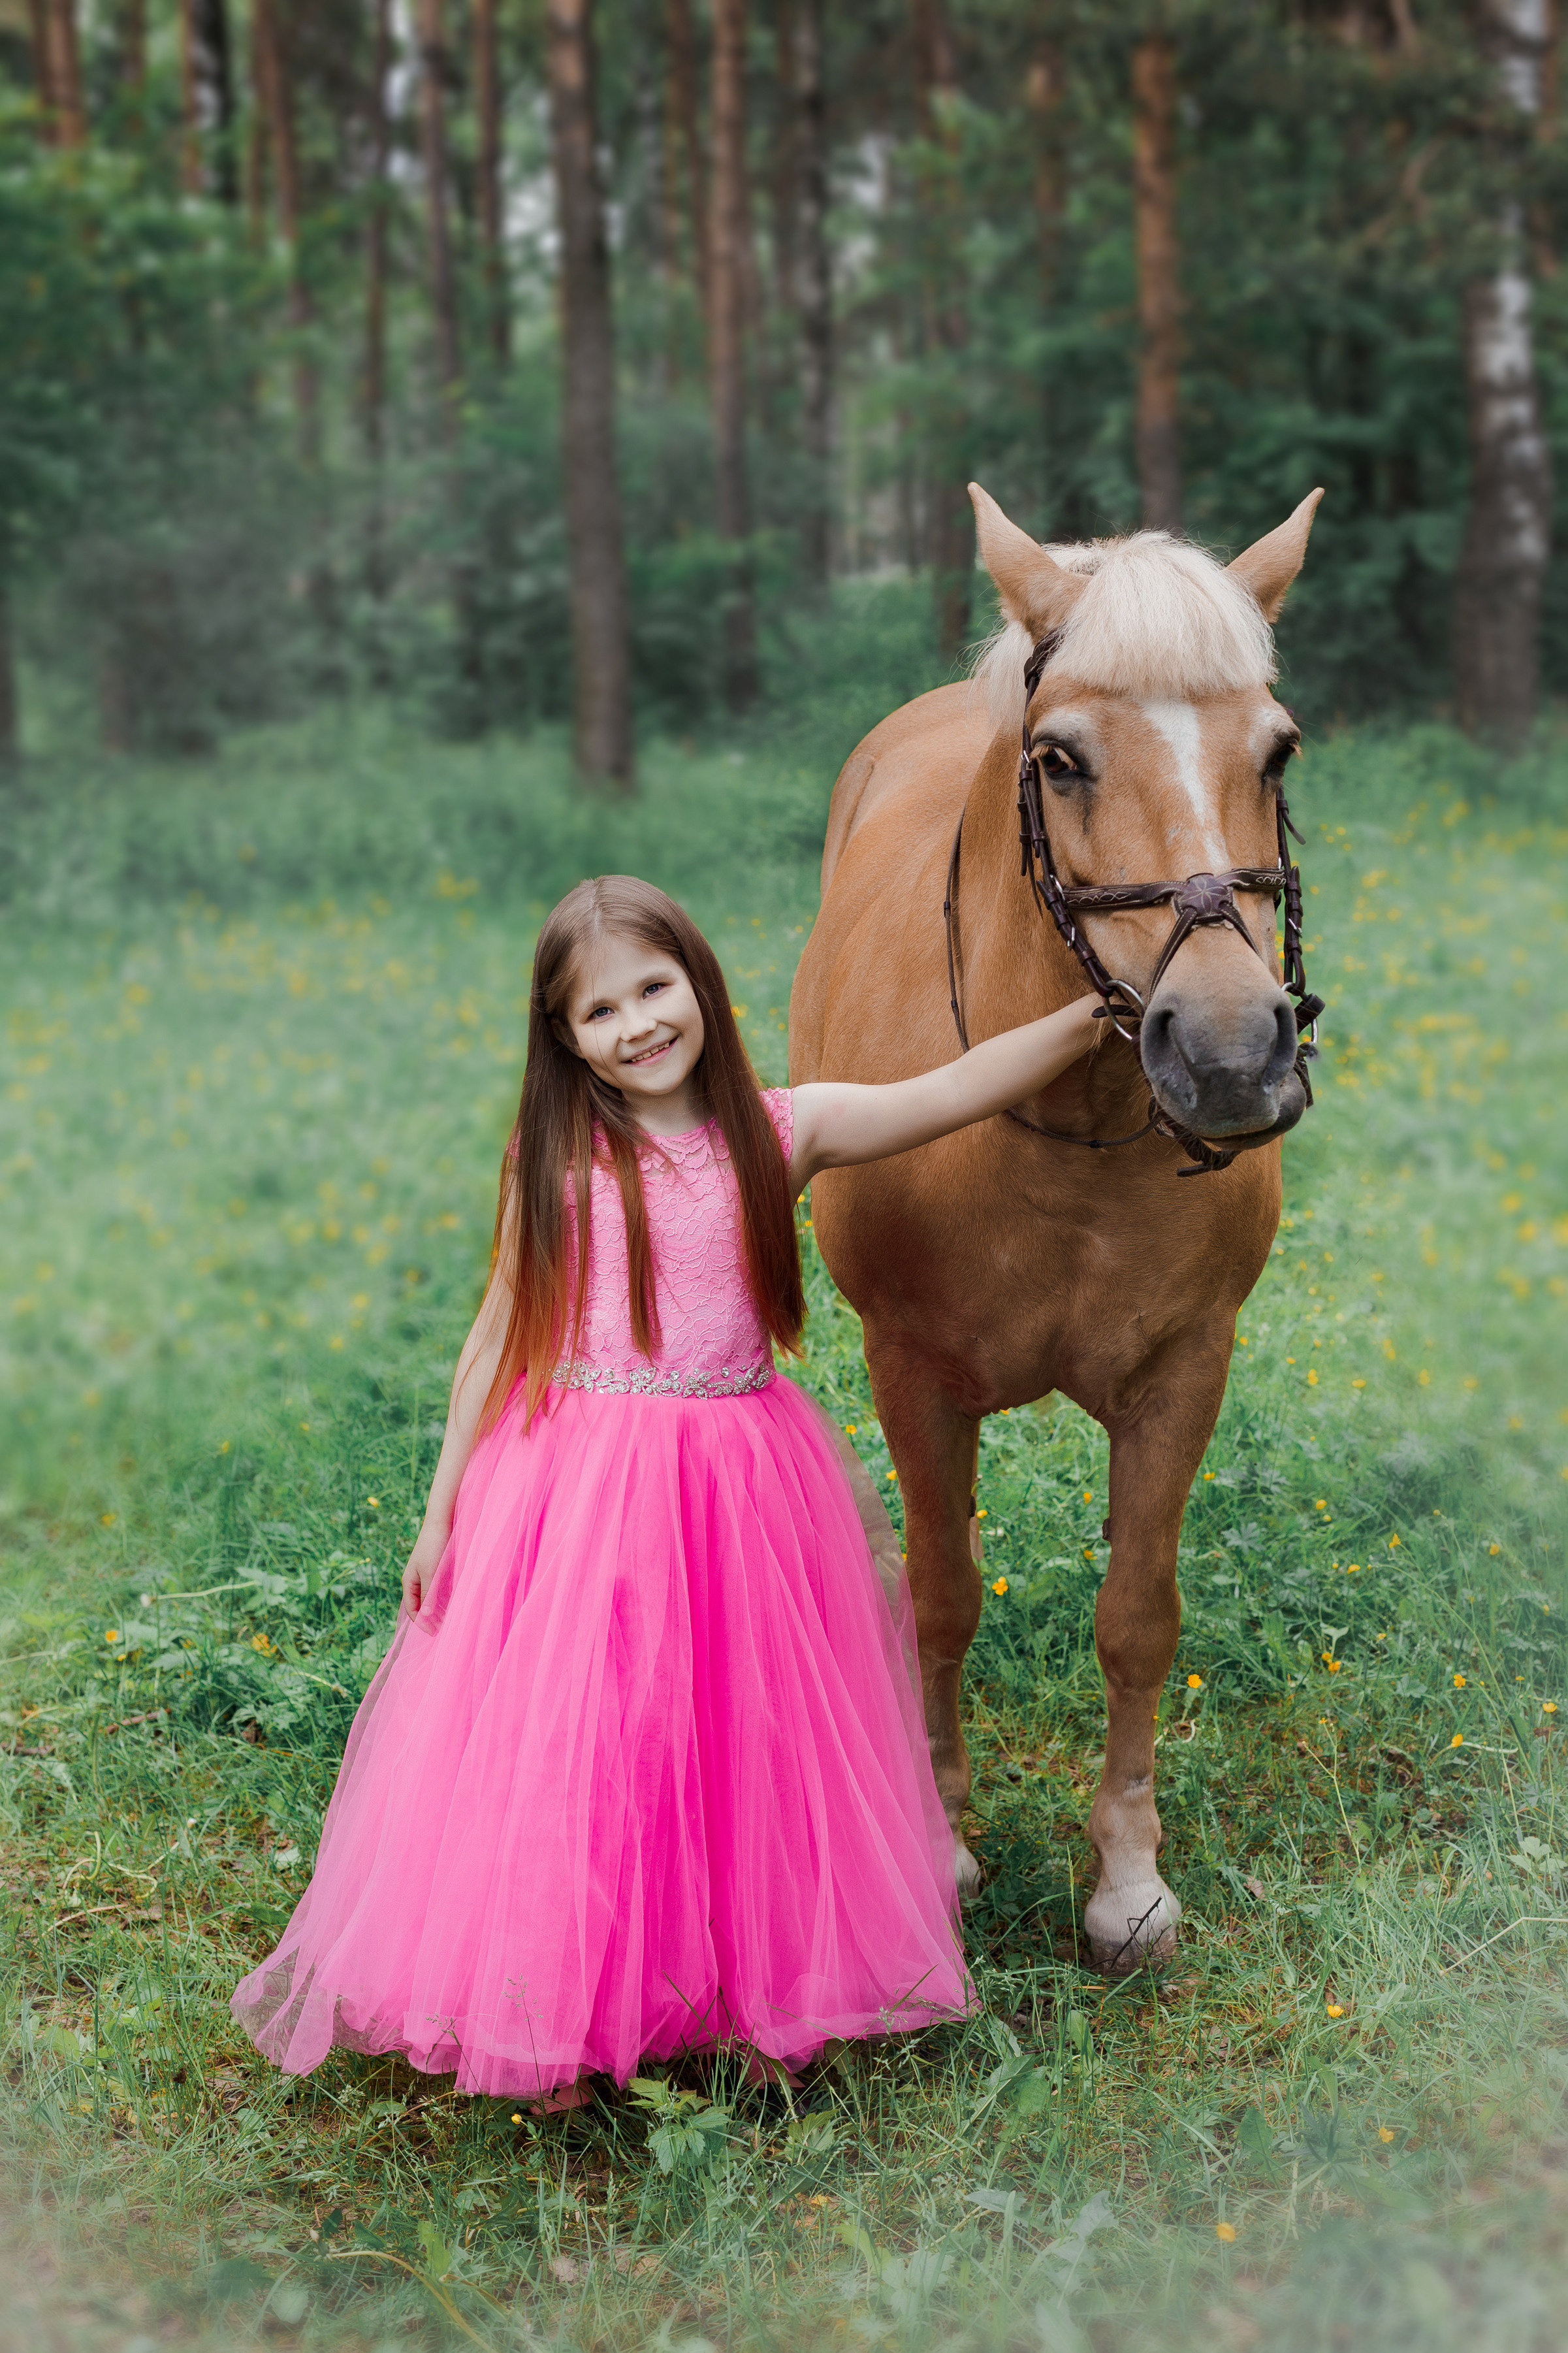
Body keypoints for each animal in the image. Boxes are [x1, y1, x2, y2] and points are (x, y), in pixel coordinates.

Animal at [789, 482, 1324, 1973]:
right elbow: (941, 1594)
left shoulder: (1184, 1371)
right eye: (1063, 758)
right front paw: (943, 1840)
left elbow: (1139, 1615)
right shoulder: (912, 1374)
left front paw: (1127, 1878)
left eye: (1278, 748)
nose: (1226, 1053)